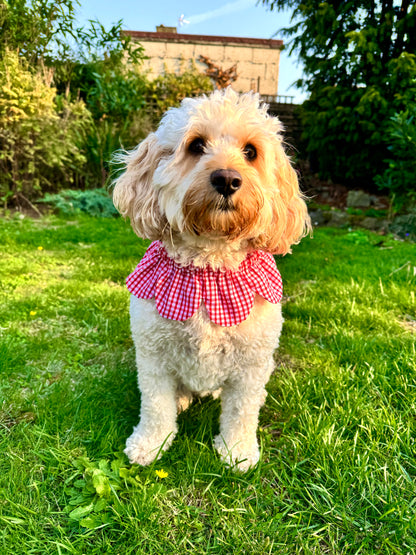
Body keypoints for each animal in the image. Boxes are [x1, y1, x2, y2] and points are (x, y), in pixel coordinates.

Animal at [112, 89, 310, 472]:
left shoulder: (251, 365)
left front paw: (238, 452)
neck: (209, 269)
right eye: (196, 145)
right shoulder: (153, 356)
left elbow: (241, 412)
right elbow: (155, 406)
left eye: (251, 151)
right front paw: (150, 444)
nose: (227, 179)